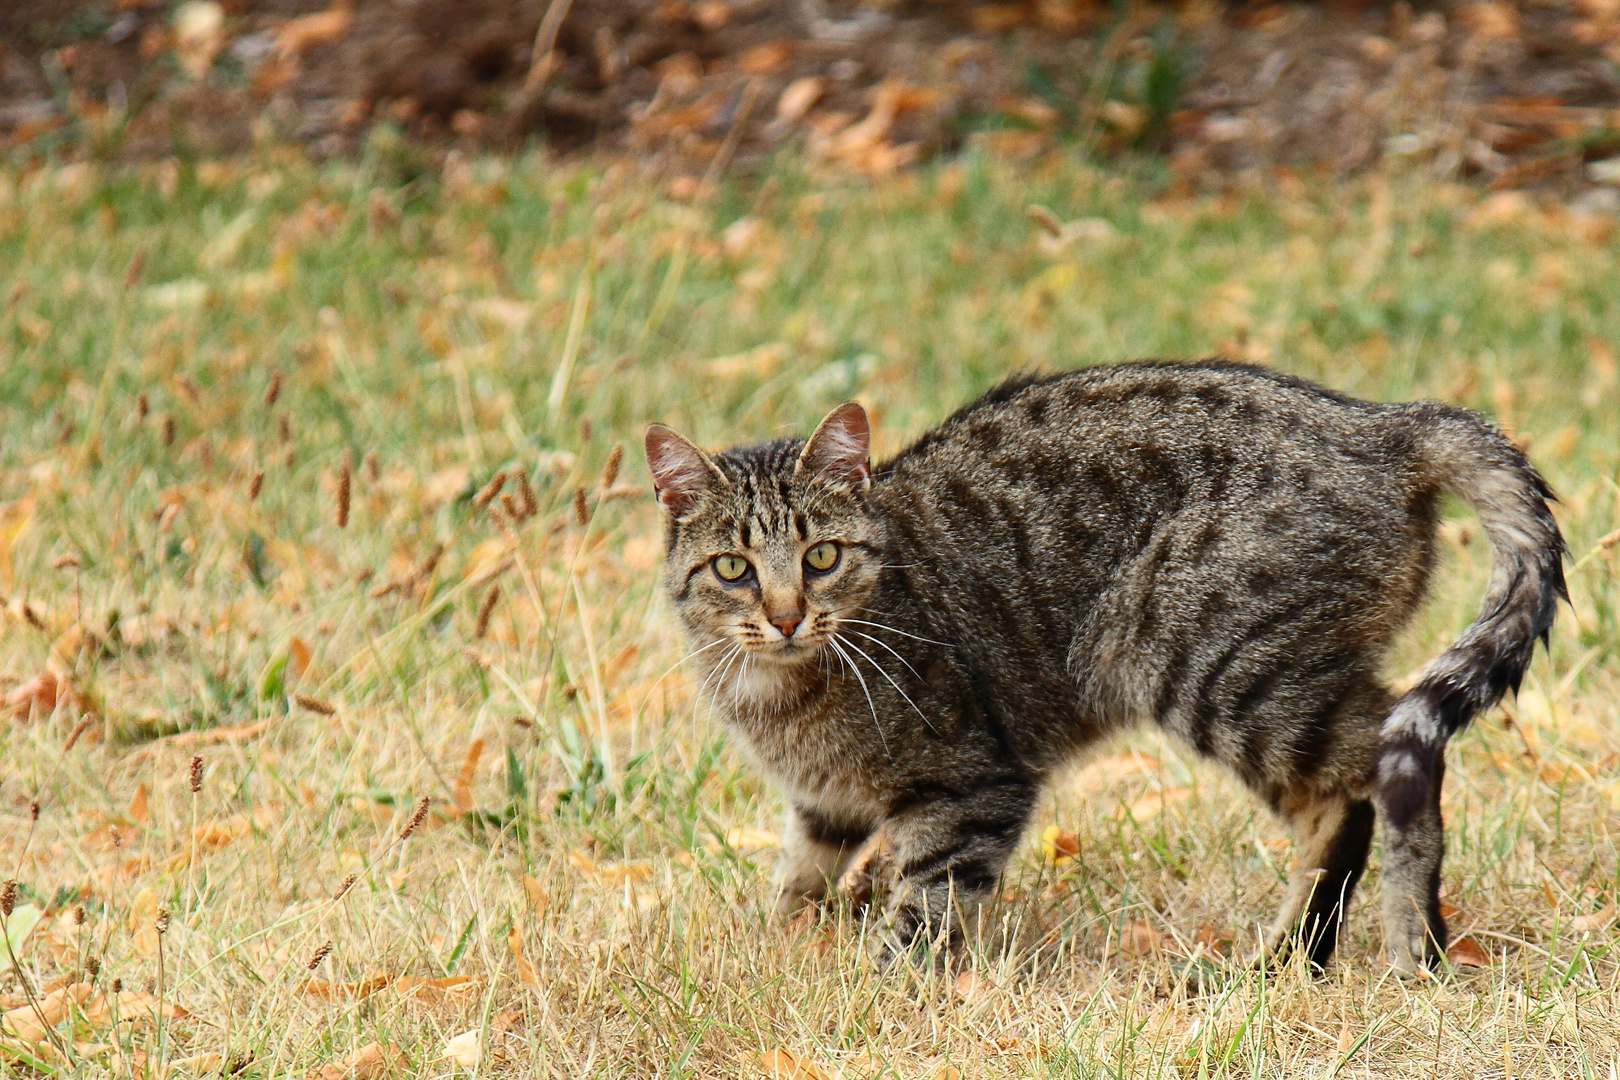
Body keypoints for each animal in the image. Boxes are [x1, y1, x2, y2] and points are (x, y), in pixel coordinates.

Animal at [644, 361, 1568, 971]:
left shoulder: (972, 784)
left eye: (823, 557)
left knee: (1391, 762)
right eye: (733, 568)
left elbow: (922, 910)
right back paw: (1289, 958)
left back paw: (1402, 940)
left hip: (1209, 666)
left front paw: (881, 993)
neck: (778, 691)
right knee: (1345, 795)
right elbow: (799, 883)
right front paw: (776, 953)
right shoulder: (823, 802)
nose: (786, 614)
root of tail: (1381, 424)